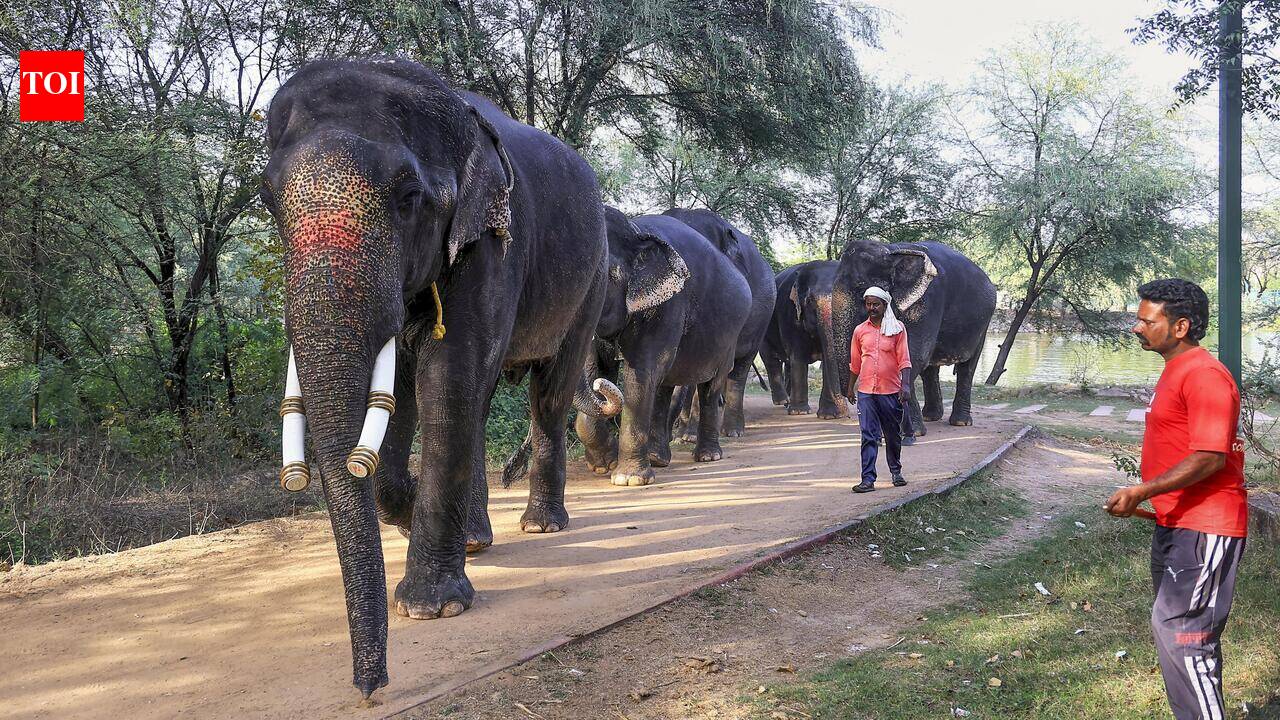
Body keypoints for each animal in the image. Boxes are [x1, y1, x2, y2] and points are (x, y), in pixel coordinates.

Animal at [262, 59, 621, 699]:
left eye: (409, 198)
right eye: (267, 199)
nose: (370, 688)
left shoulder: (493, 243)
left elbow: (447, 376)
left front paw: (431, 606)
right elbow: (404, 385)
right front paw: (402, 512)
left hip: (593, 278)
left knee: (547, 395)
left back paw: (541, 526)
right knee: (482, 403)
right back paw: (476, 539)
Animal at [575, 209, 753, 486]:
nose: (600, 388)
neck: (634, 230)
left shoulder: (668, 304)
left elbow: (641, 373)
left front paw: (628, 479)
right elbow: (597, 368)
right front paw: (605, 465)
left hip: (730, 334)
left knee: (711, 385)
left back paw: (707, 456)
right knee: (664, 385)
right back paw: (658, 459)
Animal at [760, 260, 848, 419]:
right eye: (810, 301)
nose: (845, 414)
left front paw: (829, 416)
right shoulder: (790, 314)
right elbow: (798, 356)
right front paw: (799, 412)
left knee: (787, 364)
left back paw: (787, 402)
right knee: (771, 360)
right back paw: (783, 401)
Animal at [830, 240, 996, 440]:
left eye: (861, 288)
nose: (851, 398)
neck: (891, 250)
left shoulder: (927, 303)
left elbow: (913, 356)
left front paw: (911, 432)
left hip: (983, 323)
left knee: (967, 367)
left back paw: (960, 422)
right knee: (930, 368)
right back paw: (931, 416)